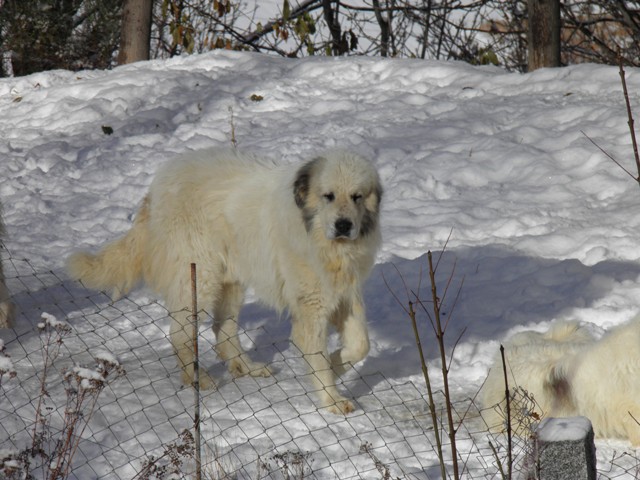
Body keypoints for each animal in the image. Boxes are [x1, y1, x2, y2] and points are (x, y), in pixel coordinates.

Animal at [67, 148, 382, 414]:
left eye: (356, 196)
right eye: (328, 195)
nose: (343, 225)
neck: (326, 243)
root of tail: (155, 189)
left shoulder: (346, 294)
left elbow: (361, 344)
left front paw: (337, 365)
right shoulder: (312, 305)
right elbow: (318, 359)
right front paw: (332, 399)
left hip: (230, 282)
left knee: (223, 328)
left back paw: (245, 367)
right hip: (199, 278)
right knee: (181, 333)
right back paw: (198, 379)